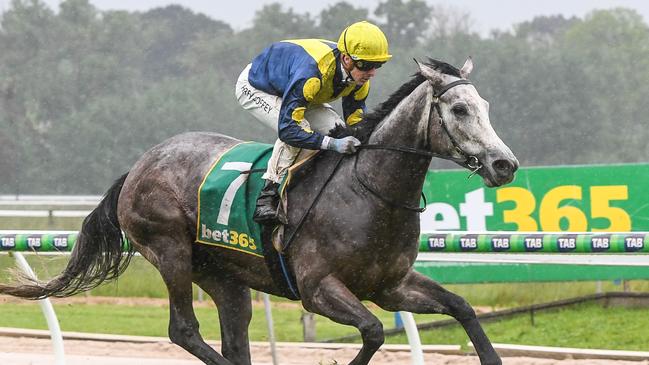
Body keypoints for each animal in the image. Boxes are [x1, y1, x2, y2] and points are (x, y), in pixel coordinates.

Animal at [0, 58, 516, 362]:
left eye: (486, 105)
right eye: (459, 110)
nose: (504, 164)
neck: (368, 192)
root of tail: (140, 165)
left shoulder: (390, 286)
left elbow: (463, 308)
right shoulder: (318, 288)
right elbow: (371, 332)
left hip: (224, 275)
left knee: (234, 336)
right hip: (170, 251)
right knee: (184, 330)